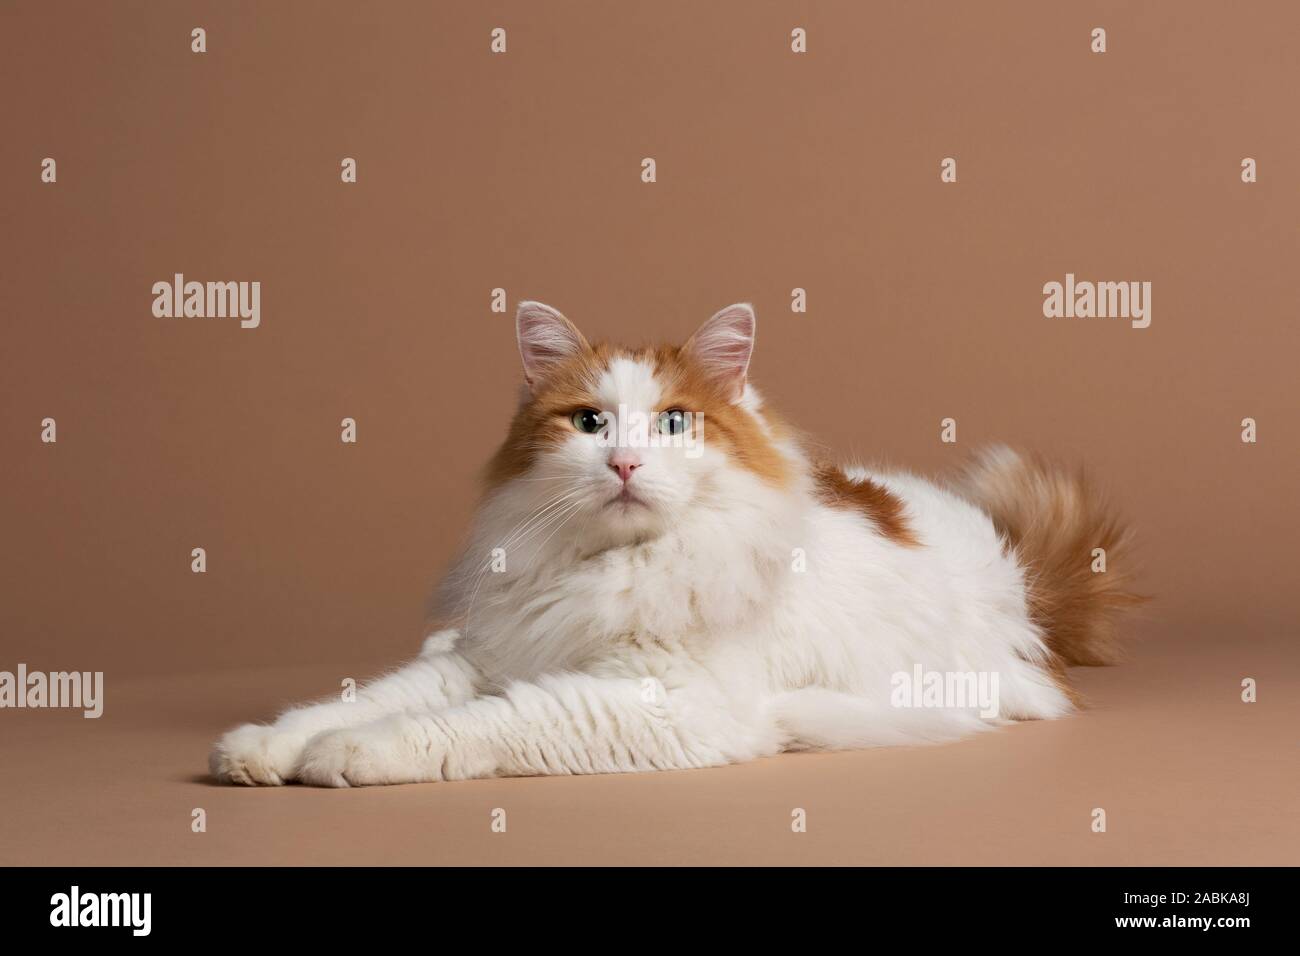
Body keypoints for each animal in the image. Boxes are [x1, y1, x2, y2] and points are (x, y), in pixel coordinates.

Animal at [210, 303, 1138, 790]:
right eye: (590, 422)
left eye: (674, 423)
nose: (624, 462)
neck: (613, 569)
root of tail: (1019, 573)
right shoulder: (490, 652)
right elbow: (362, 698)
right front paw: (264, 747)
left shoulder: (661, 703)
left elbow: (466, 724)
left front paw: (348, 756)